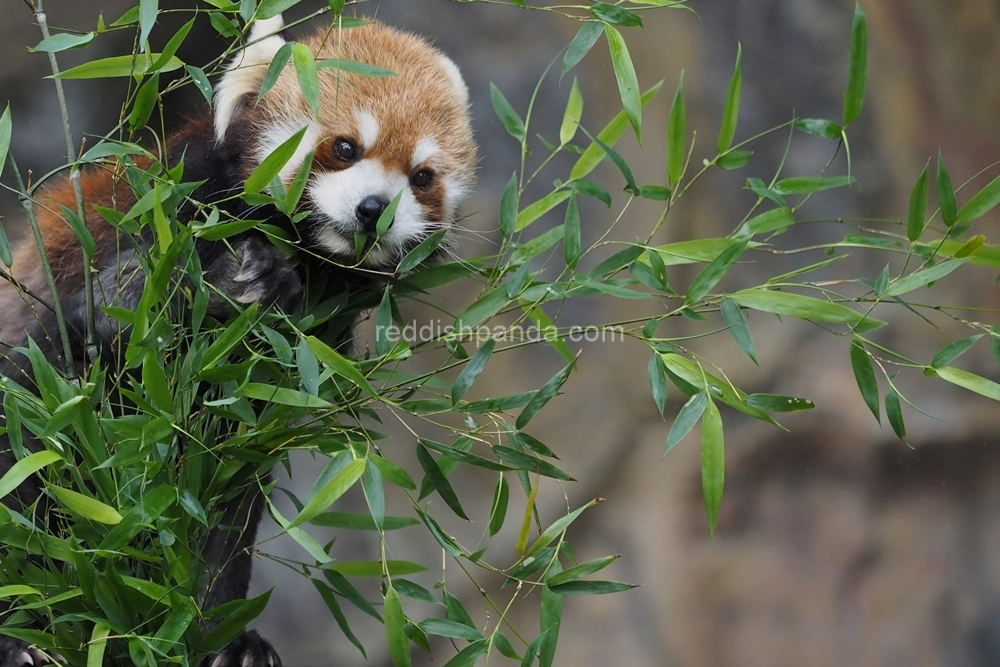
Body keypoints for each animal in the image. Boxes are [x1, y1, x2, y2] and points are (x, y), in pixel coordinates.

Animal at [0, 15, 476, 667]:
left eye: (422, 177)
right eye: (345, 147)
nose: (375, 209)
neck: (305, 252)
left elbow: (226, 500)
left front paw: (219, 635)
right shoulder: (163, 206)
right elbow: (100, 326)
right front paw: (239, 281)